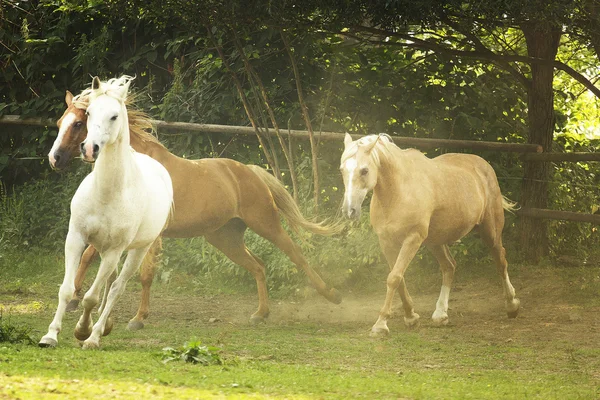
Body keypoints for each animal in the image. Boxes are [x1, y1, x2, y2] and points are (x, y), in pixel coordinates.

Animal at [39, 76, 172, 348]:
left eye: (114, 116)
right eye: (88, 113)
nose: (90, 149)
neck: (107, 192)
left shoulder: (114, 250)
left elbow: (92, 296)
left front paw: (85, 333)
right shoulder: (76, 238)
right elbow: (67, 289)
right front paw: (50, 335)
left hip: (137, 250)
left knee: (116, 287)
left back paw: (98, 331)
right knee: (110, 282)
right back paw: (104, 324)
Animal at [47, 90, 342, 332]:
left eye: (78, 123)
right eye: (60, 123)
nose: (55, 159)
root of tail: (250, 171)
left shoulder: (151, 236)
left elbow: (144, 275)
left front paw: (138, 319)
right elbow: (89, 256)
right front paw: (76, 299)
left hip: (266, 224)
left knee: (297, 255)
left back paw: (332, 295)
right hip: (225, 238)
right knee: (258, 266)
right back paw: (260, 313)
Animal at [338, 133, 520, 336]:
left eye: (364, 170)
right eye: (342, 170)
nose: (349, 211)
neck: (398, 191)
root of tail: (484, 165)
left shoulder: (413, 238)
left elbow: (394, 278)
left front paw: (381, 325)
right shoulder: (386, 242)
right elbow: (399, 278)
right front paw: (411, 317)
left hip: (490, 231)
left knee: (501, 260)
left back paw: (512, 305)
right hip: (436, 241)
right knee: (449, 266)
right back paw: (440, 314)